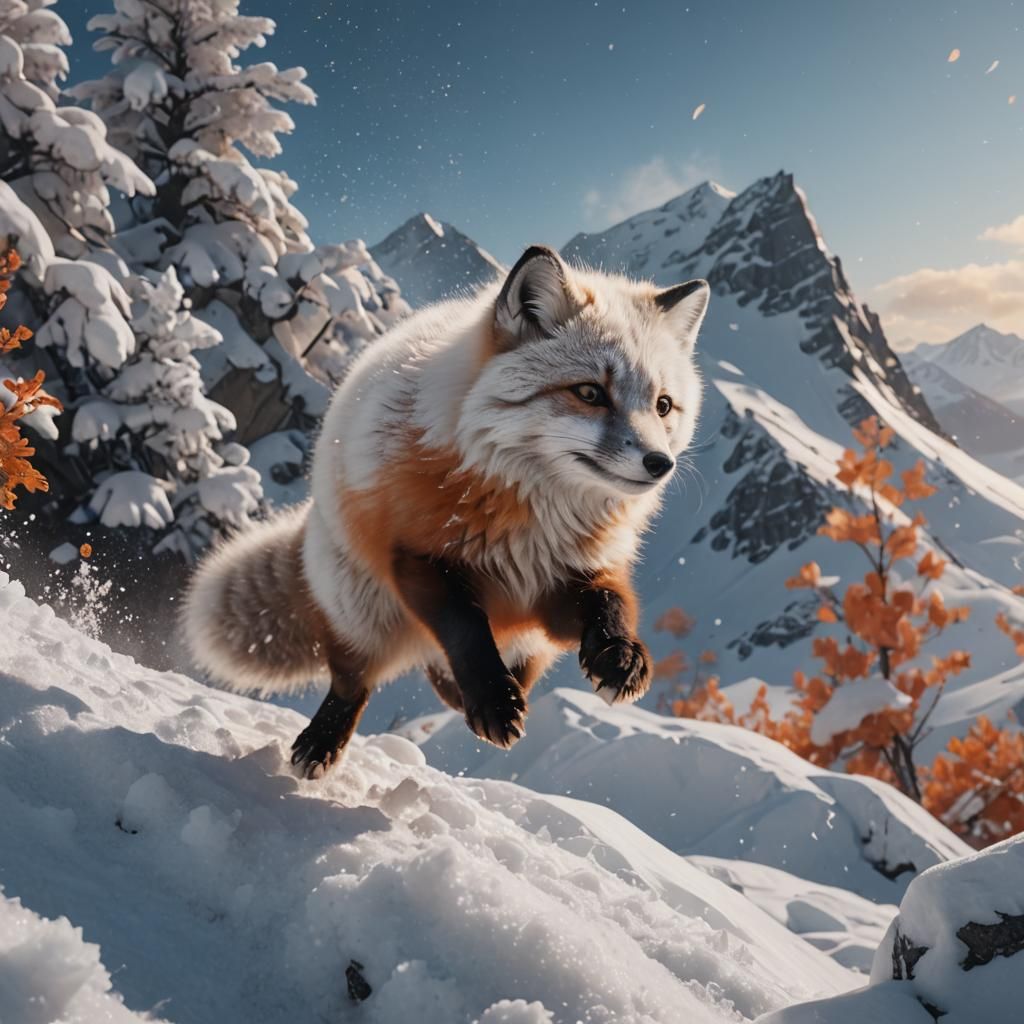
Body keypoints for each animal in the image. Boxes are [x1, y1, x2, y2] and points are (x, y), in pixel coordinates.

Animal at [183, 245, 709, 778]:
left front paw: (620, 656)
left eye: (663, 406)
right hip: (361, 613)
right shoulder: (419, 559)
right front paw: (494, 701)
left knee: (452, 675)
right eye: (589, 393)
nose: (659, 463)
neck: (533, 521)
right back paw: (322, 742)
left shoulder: (564, 582)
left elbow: (610, 605)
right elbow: (466, 630)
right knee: (356, 680)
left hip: (527, 644)